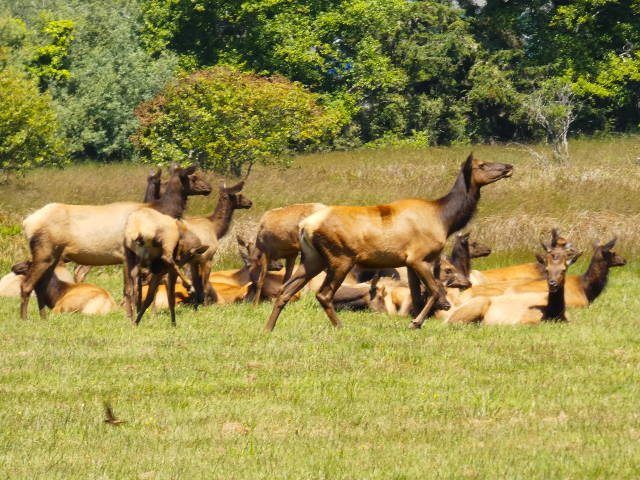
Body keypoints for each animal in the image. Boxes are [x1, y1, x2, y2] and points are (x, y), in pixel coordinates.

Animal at [20, 165, 211, 320]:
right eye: (194, 176)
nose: (209, 187)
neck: (159, 211)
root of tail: (27, 222)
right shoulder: (127, 255)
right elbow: (132, 289)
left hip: (54, 256)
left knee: (41, 285)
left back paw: (43, 318)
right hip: (44, 252)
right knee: (27, 284)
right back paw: (25, 318)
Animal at [264, 153, 513, 332]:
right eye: (482, 165)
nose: (509, 166)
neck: (445, 219)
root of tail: (304, 226)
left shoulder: (409, 262)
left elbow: (417, 295)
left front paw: (415, 320)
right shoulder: (419, 257)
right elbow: (434, 289)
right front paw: (415, 322)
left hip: (312, 258)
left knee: (285, 290)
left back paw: (268, 327)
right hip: (340, 257)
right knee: (323, 294)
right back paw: (340, 327)